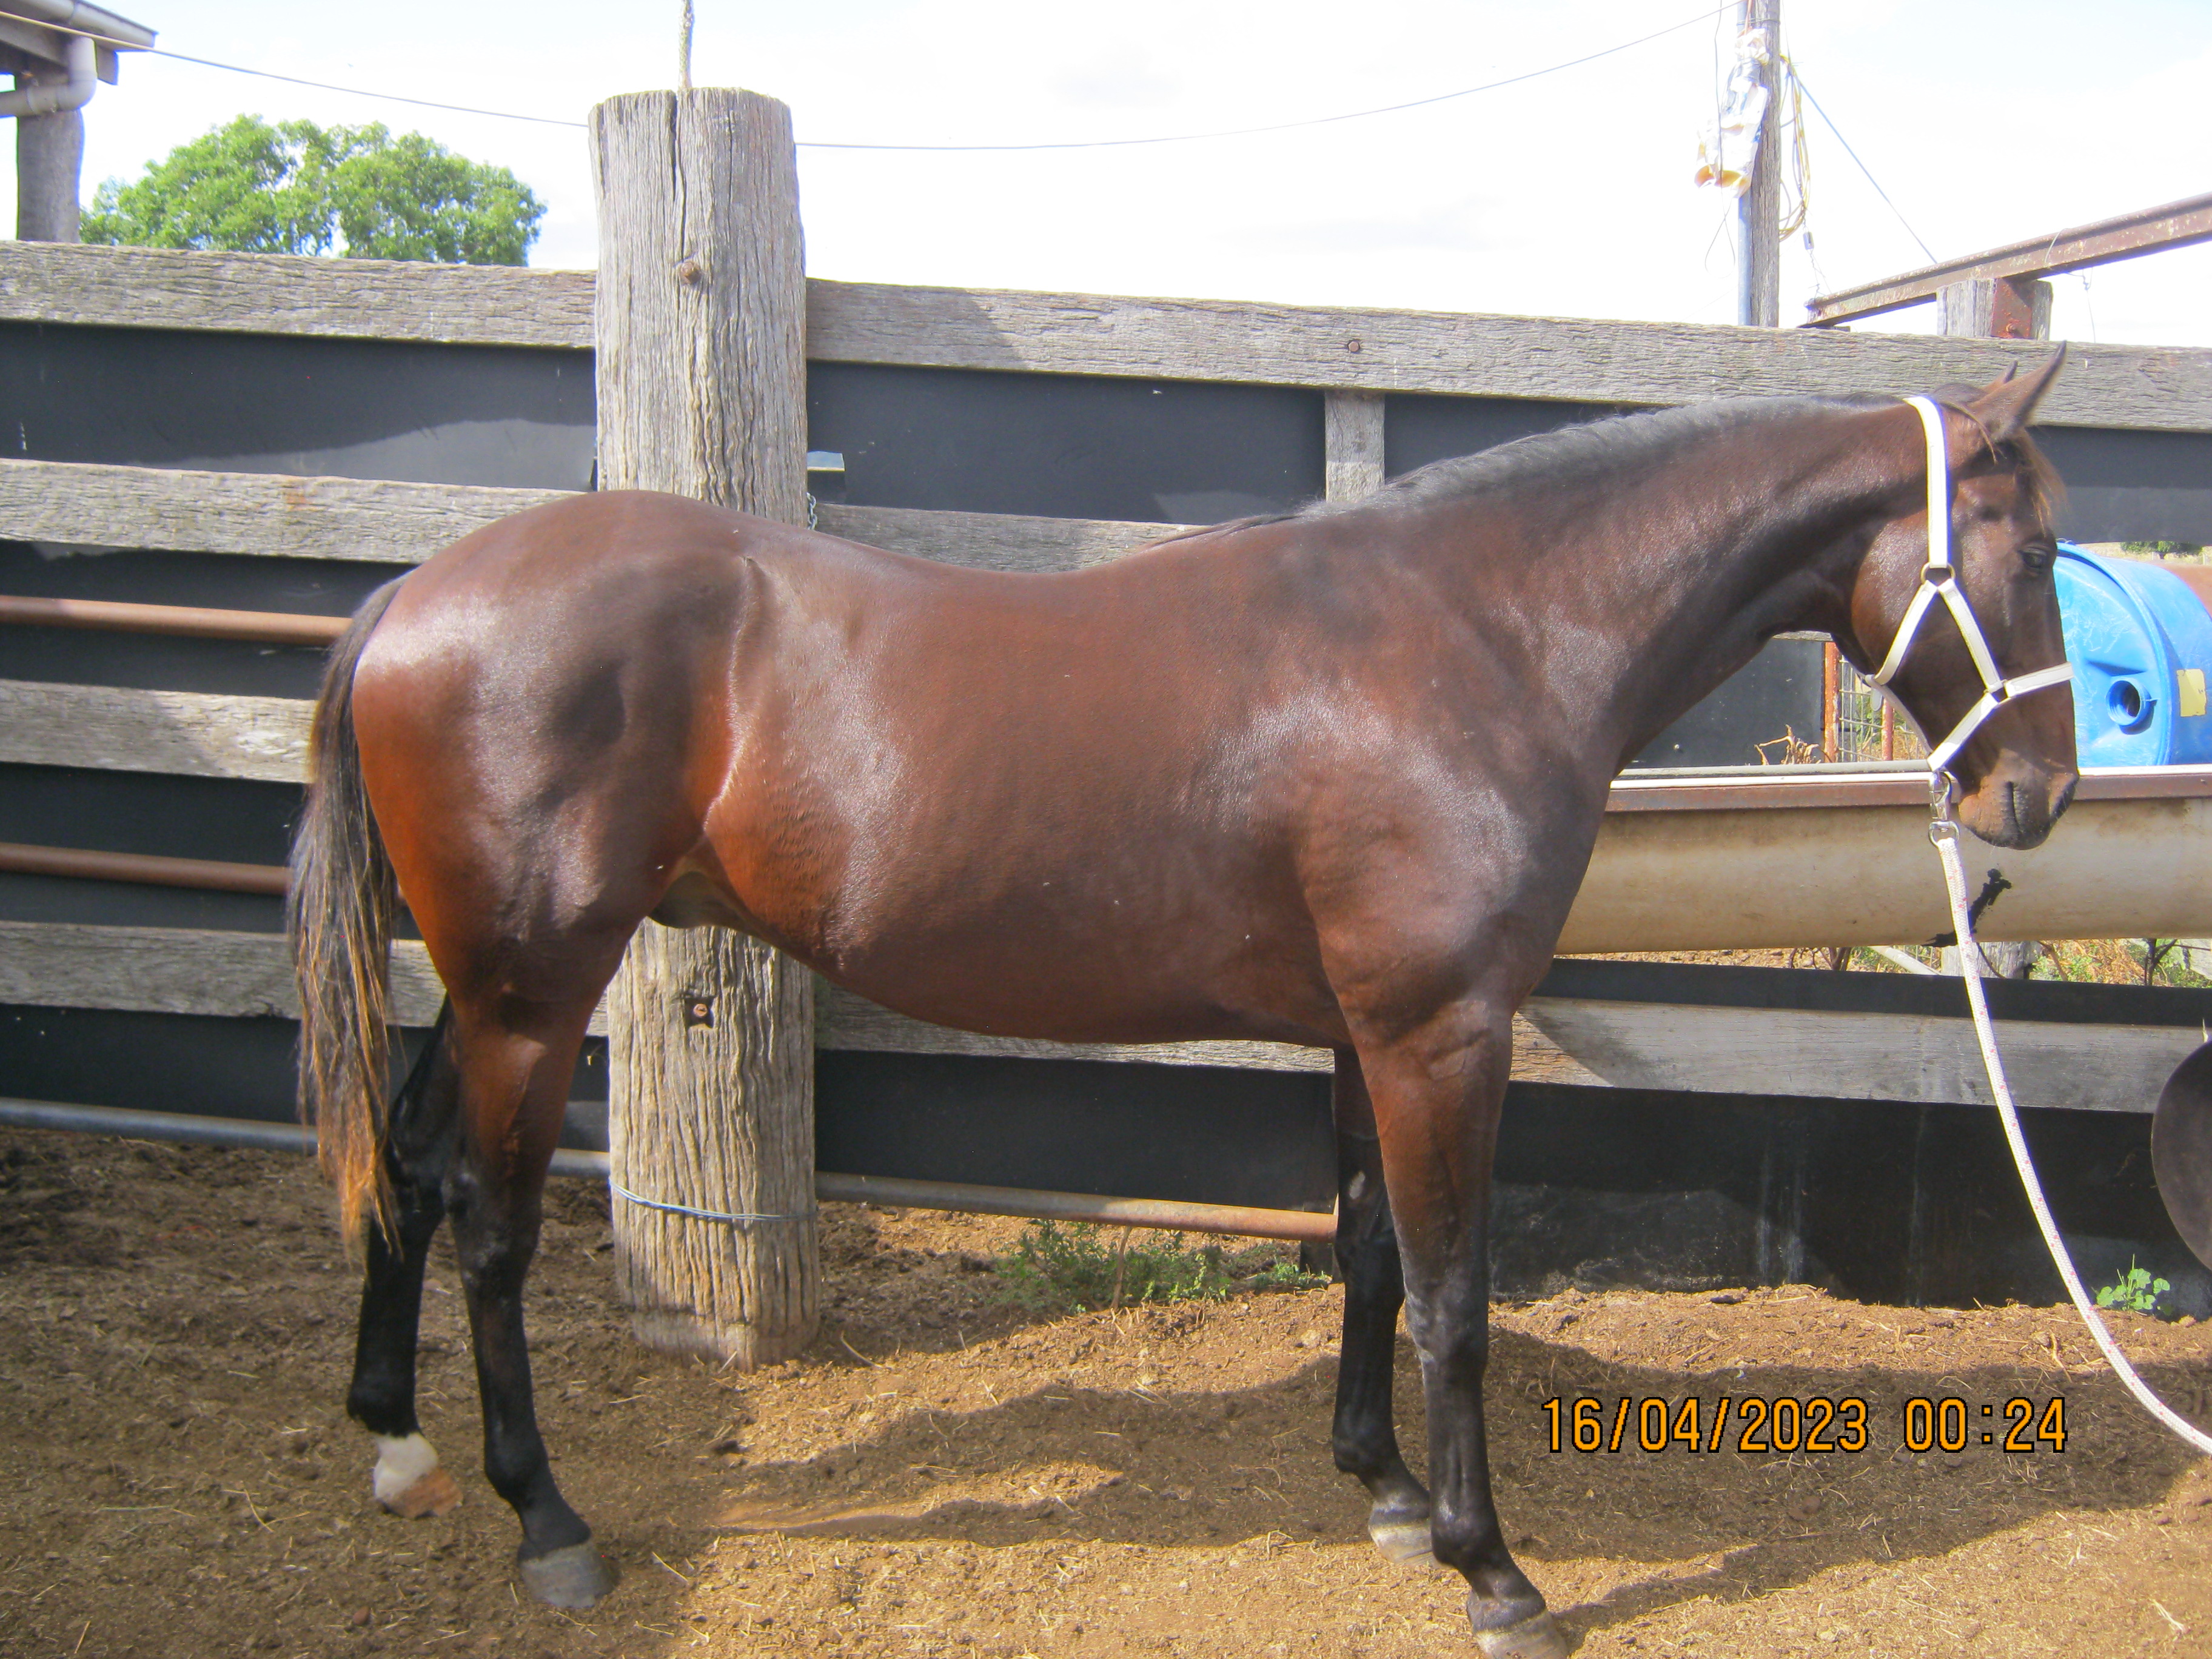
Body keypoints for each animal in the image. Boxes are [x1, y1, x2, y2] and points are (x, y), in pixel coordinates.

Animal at [289, 353, 2076, 1657]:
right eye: (2038, 546)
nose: (2039, 795)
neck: (1480, 632)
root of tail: (408, 599)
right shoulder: (1446, 1032)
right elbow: (1457, 1294)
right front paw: (1492, 1570)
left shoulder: (1374, 1033)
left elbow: (1372, 1252)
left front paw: (1381, 1486)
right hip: (538, 989)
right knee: (488, 1221)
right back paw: (548, 1519)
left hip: (486, 984)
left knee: (406, 1165)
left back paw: (394, 1441)